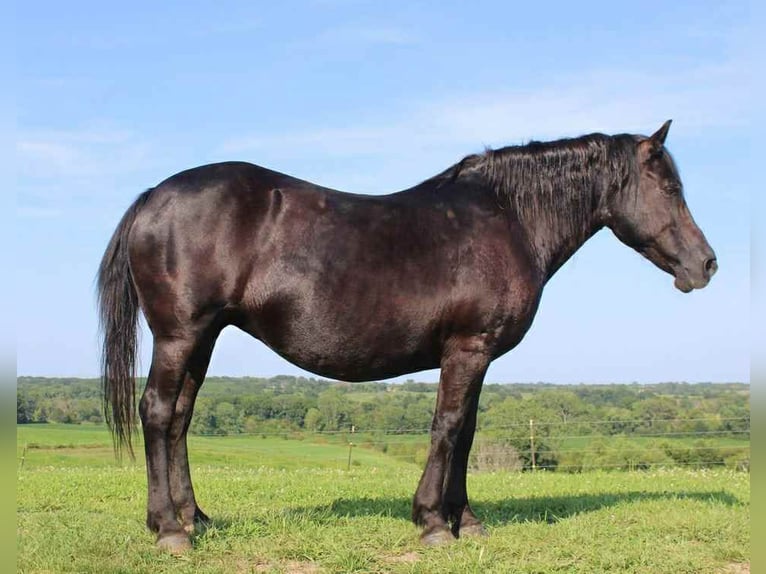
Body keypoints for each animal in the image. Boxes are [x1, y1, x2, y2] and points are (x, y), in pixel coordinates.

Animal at [97, 120, 717, 552]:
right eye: (669, 186)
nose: (706, 265)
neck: (508, 218)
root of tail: (154, 195)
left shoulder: (478, 355)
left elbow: (466, 432)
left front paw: (467, 521)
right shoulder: (467, 347)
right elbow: (447, 427)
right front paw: (433, 523)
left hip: (203, 339)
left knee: (179, 419)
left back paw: (196, 518)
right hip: (180, 335)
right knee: (157, 412)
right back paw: (168, 529)